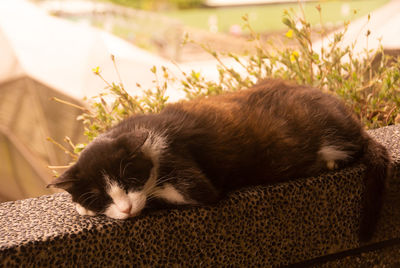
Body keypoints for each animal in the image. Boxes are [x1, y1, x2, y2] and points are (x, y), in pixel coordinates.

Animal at [49, 78, 390, 242]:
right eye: (101, 195)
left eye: (130, 179)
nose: (125, 208)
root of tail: (354, 122)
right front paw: (85, 206)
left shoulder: (188, 173)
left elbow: (166, 195)